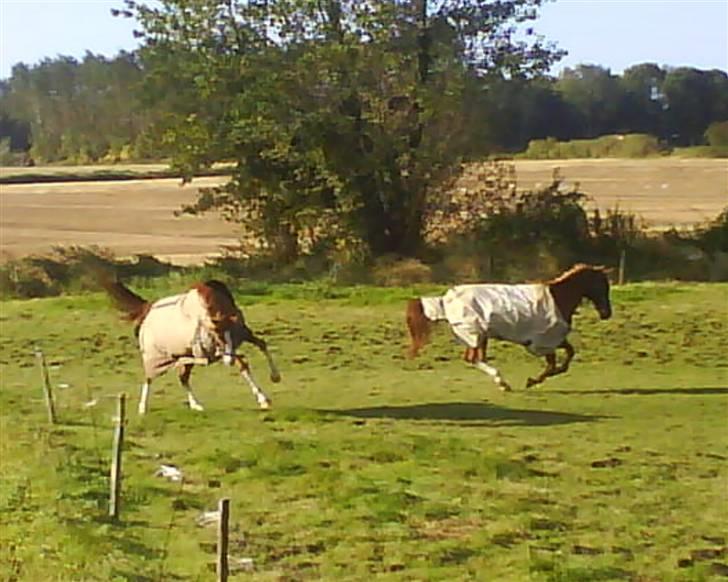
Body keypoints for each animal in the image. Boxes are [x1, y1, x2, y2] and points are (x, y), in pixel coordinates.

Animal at [102, 280, 282, 412]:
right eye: (218, 337)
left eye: (233, 335)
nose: (227, 362)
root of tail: (146, 309)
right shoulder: (211, 352)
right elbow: (242, 362)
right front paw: (264, 399)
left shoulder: (241, 336)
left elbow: (261, 345)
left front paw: (275, 378)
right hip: (154, 357)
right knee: (150, 378)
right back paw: (142, 408)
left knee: (183, 377)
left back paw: (196, 405)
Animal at [406, 264, 612, 392]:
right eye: (602, 285)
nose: (606, 313)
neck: (559, 298)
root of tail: (446, 299)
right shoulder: (543, 341)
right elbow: (554, 363)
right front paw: (532, 381)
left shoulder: (553, 340)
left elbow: (568, 355)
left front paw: (541, 377)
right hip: (477, 335)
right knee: (473, 358)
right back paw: (502, 382)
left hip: (480, 336)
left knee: (475, 358)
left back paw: (502, 383)